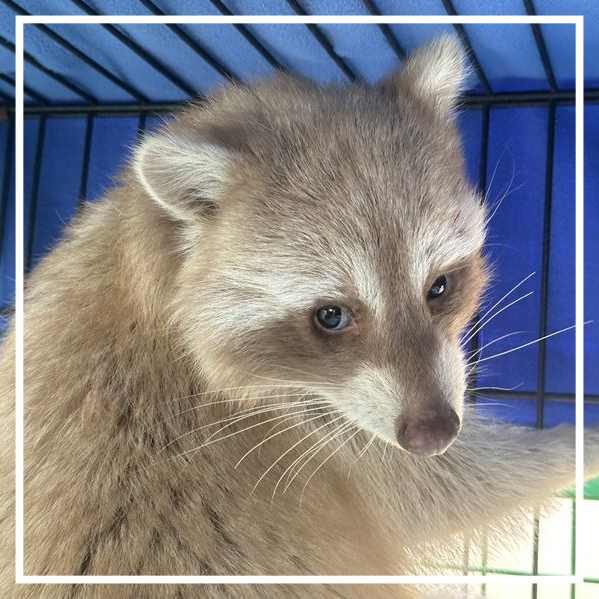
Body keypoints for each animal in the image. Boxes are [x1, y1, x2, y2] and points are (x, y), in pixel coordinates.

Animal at [0, 36, 596, 599]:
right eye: (330, 316)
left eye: (440, 287)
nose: (435, 431)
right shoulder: (307, 437)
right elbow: (441, 490)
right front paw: (572, 445)